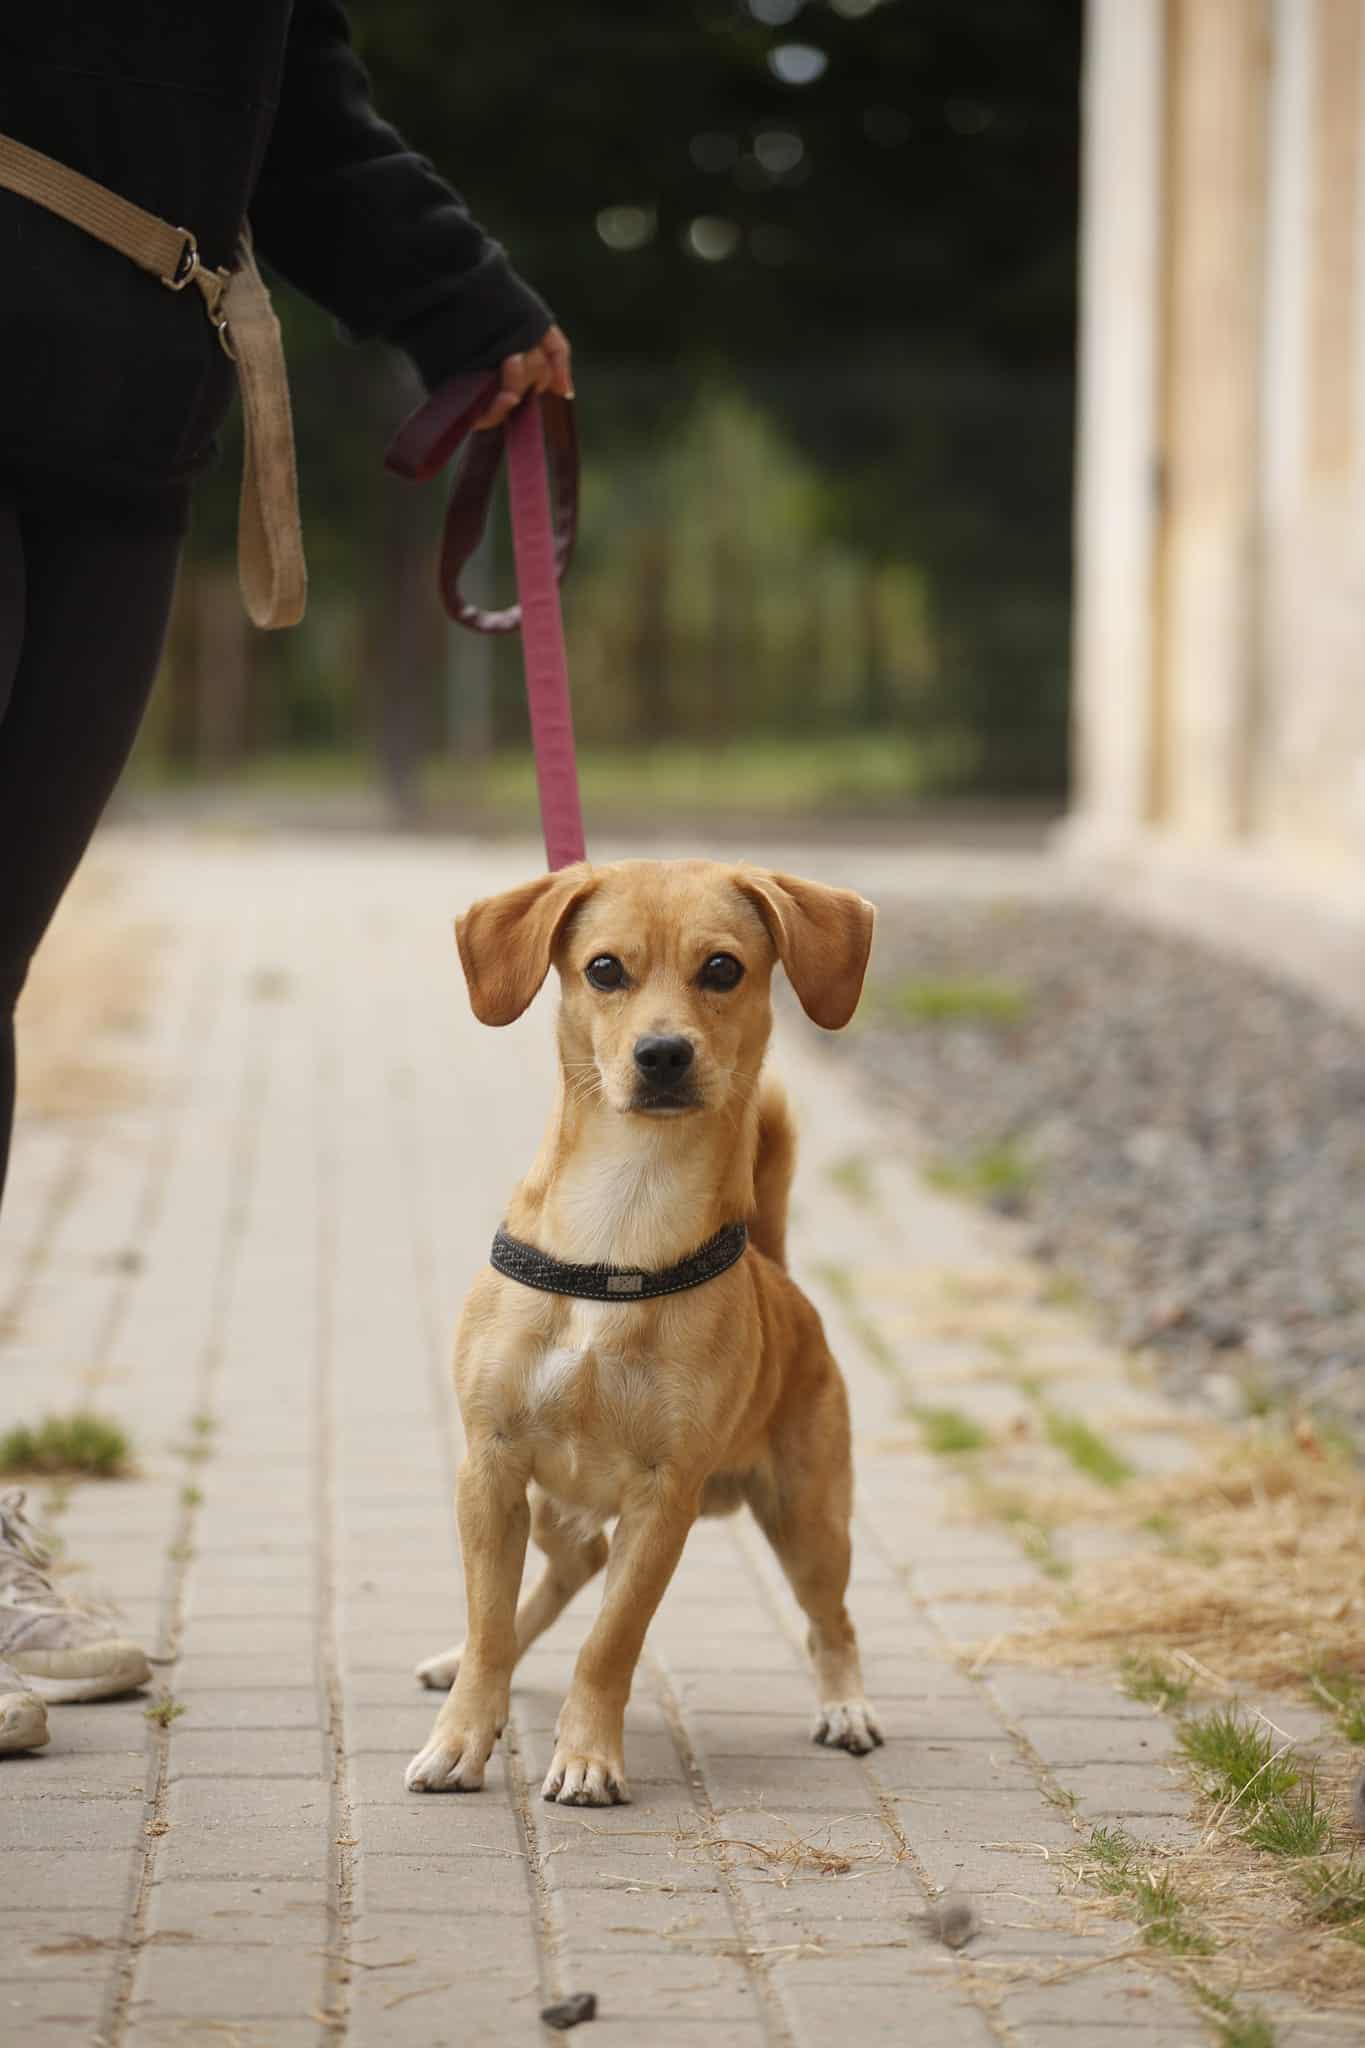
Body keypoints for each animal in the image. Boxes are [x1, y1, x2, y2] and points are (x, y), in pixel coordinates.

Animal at [407, 857, 880, 1806]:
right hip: (549, 1507)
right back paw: (461, 1660)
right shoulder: (490, 1467)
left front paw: (587, 1754)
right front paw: (462, 1736)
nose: (662, 1053)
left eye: (723, 969)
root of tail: (779, 1271)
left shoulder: (665, 1500)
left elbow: (610, 1640)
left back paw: (844, 1705)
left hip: (808, 1518)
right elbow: (489, 1623)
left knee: (830, 1619)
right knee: (557, 1577)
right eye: (603, 970)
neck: (623, 1217)